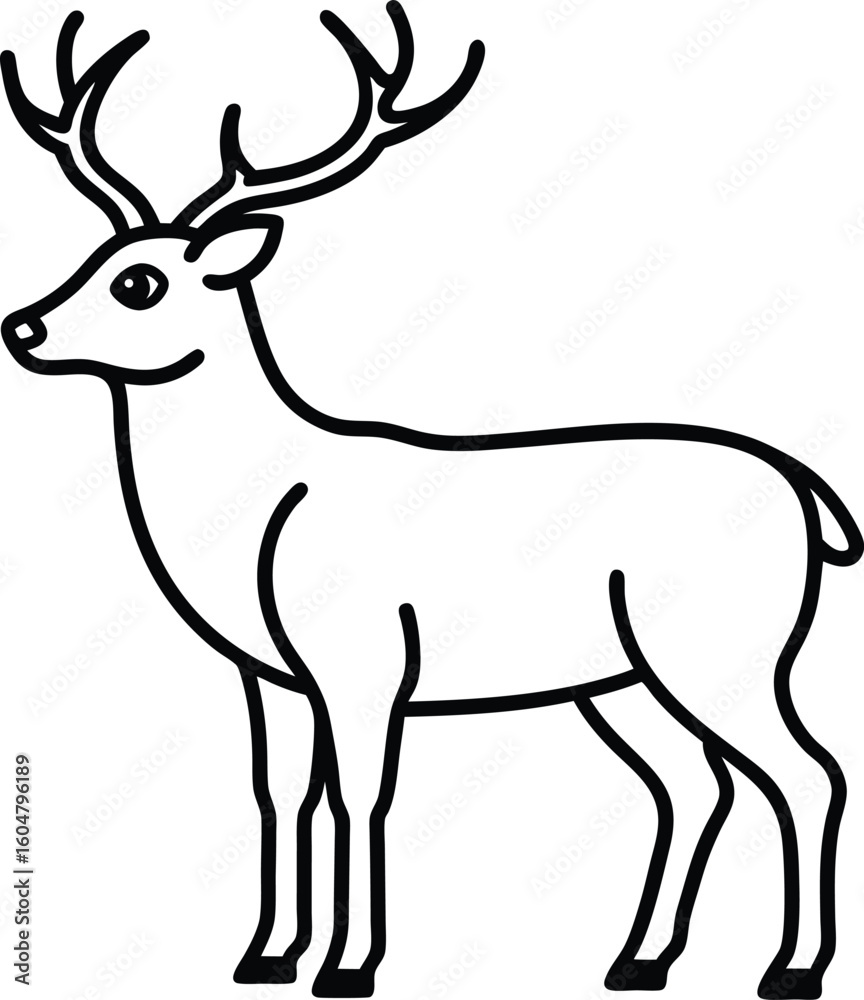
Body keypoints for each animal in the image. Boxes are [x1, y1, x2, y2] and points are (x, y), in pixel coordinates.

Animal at [1, 6, 860, 998]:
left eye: (139, 281)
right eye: (94, 253)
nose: (19, 326)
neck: (258, 509)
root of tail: (810, 495)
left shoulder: (363, 656)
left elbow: (359, 795)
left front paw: (348, 965)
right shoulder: (269, 674)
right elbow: (279, 792)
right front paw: (266, 956)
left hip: (728, 645)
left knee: (809, 772)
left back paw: (791, 971)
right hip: (622, 677)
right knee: (694, 784)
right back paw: (639, 960)